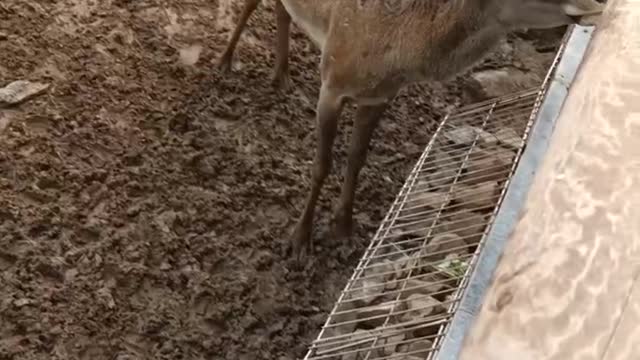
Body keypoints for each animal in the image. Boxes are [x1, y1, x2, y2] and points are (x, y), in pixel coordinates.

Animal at [219, 0, 604, 258]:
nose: (598, 7)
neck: (400, 57)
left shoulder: (379, 96)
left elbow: (356, 161)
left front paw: (343, 232)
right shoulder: (332, 81)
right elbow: (321, 166)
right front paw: (300, 240)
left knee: (281, 9)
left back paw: (281, 74)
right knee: (252, 4)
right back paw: (226, 62)